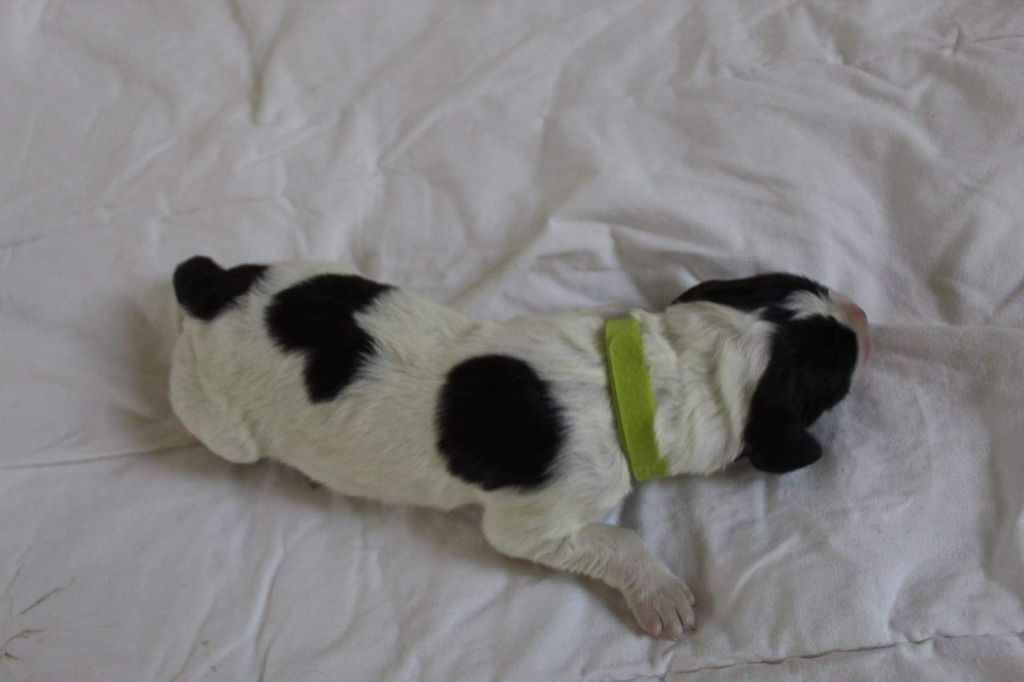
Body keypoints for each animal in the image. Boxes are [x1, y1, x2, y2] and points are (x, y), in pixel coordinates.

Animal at [169, 256, 869, 639]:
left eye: (801, 279)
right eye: (841, 366)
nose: (863, 314)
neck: (654, 374)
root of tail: (211, 291)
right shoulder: (534, 522)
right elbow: (617, 540)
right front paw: (663, 596)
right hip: (216, 418)